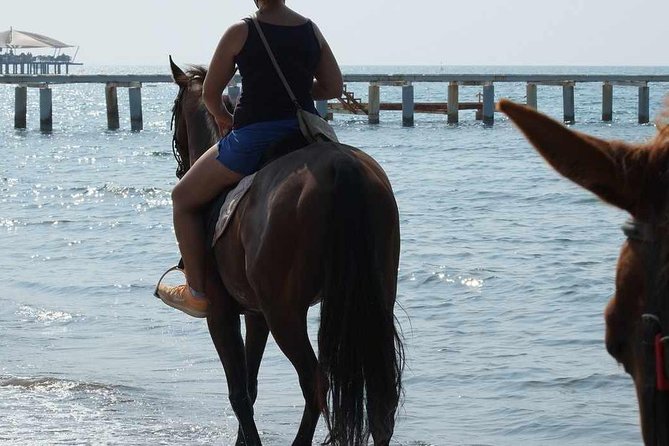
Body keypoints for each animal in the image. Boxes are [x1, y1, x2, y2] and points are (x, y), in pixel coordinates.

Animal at [170, 57, 404, 444]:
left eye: (174, 116)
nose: (180, 167)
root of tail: (341, 167)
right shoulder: (256, 314)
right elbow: (250, 387)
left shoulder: (222, 313)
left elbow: (239, 392)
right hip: (373, 299)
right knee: (381, 393)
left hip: (286, 314)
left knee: (315, 384)